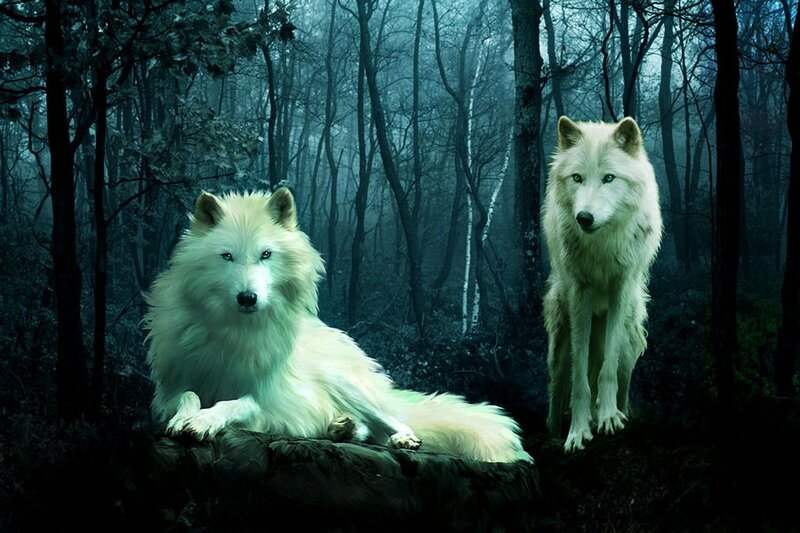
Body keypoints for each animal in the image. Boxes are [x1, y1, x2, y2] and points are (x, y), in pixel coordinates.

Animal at [144, 188, 531, 463]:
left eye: (266, 254)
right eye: (227, 256)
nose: (247, 298)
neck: (233, 331)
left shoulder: (267, 399)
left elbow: (234, 404)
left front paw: (203, 421)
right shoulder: (171, 388)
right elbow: (190, 396)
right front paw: (186, 418)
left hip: (345, 383)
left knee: (389, 420)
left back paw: (398, 436)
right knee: (364, 430)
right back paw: (341, 428)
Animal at [542, 116, 662, 453]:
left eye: (609, 178)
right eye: (577, 178)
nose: (584, 217)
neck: (602, 244)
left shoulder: (619, 290)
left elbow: (606, 372)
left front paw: (608, 418)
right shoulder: (580, 295)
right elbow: (580, 379)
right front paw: (577, 431)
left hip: (629, 340)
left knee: (618, 374)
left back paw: (618, 413)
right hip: (560, 339)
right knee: (557, 386)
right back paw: (554, 433)